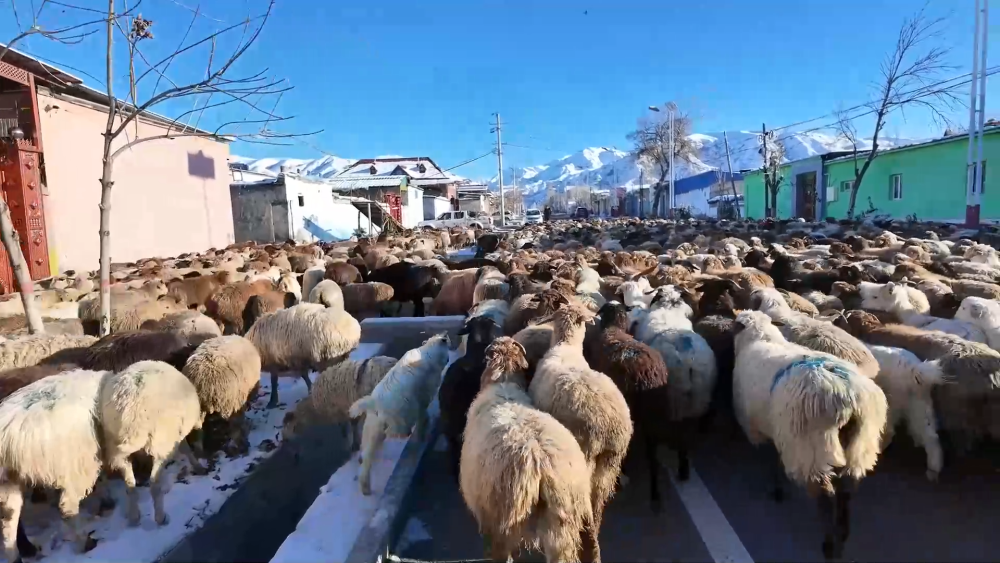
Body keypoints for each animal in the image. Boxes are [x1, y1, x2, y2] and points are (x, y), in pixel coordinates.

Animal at [0, 368, 106, 560]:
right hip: (75, 465)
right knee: (68, 507)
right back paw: (85, 542)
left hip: (8, 482)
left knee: (8, 521)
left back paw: (19, 554)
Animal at [100, 362, 204, 528]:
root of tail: (130, 409)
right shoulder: (174, 436)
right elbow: (186, 449)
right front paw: (197, 465)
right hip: (160, 444)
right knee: (154, 484)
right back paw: (161, 517)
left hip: (117, 450)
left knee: (130, 484)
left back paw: (134, 516)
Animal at [348, 332, 450, 496]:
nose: (448, 360)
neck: (427, 353)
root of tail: (374, 403)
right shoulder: (422, 394)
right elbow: (423, 410)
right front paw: (424, 427)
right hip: (397, 418)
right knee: (395, 431)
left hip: (371, 426)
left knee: (367, 456)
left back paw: (366, 488)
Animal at [732, 310, 888, 560]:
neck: (760, 337)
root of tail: (849, 398)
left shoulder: (762, 430)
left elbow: (771, 459)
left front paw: (776, 490)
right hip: (861, 443)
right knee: (846, 489)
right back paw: (842, 533)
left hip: (810, 447)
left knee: (825, 495)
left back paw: (829, 544)